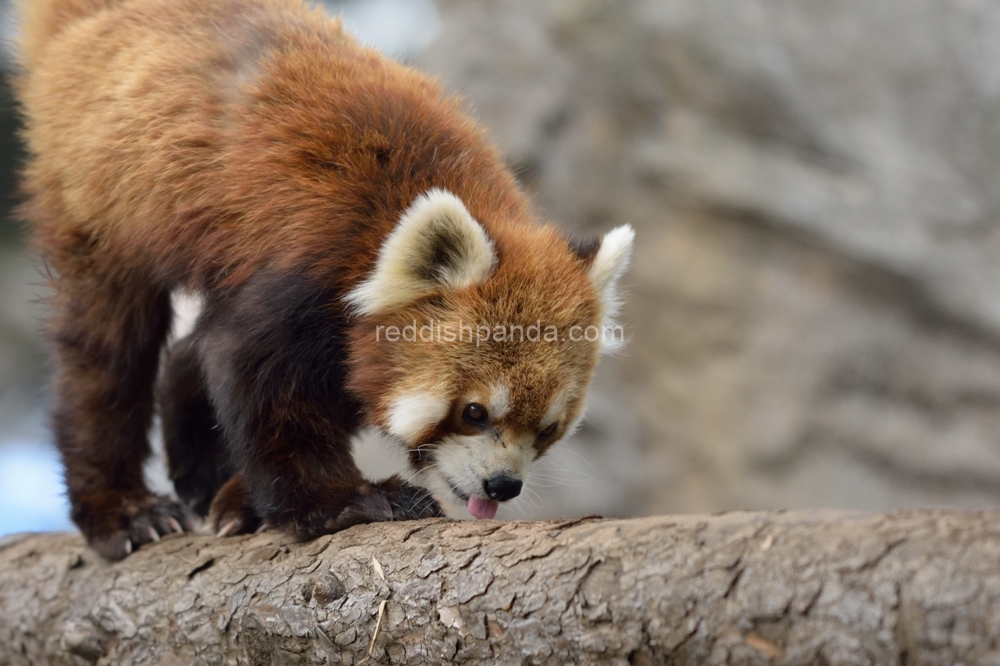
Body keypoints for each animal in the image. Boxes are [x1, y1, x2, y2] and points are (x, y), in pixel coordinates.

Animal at [15, 0, 632, 556]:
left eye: (548, 429)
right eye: (474, 412)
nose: (502, 485)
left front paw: (244, 501)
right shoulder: (304, 267)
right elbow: (259, 378)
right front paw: (343, 503)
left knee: (190, 346)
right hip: (100, 199)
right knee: (107, 352)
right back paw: (124, 510)